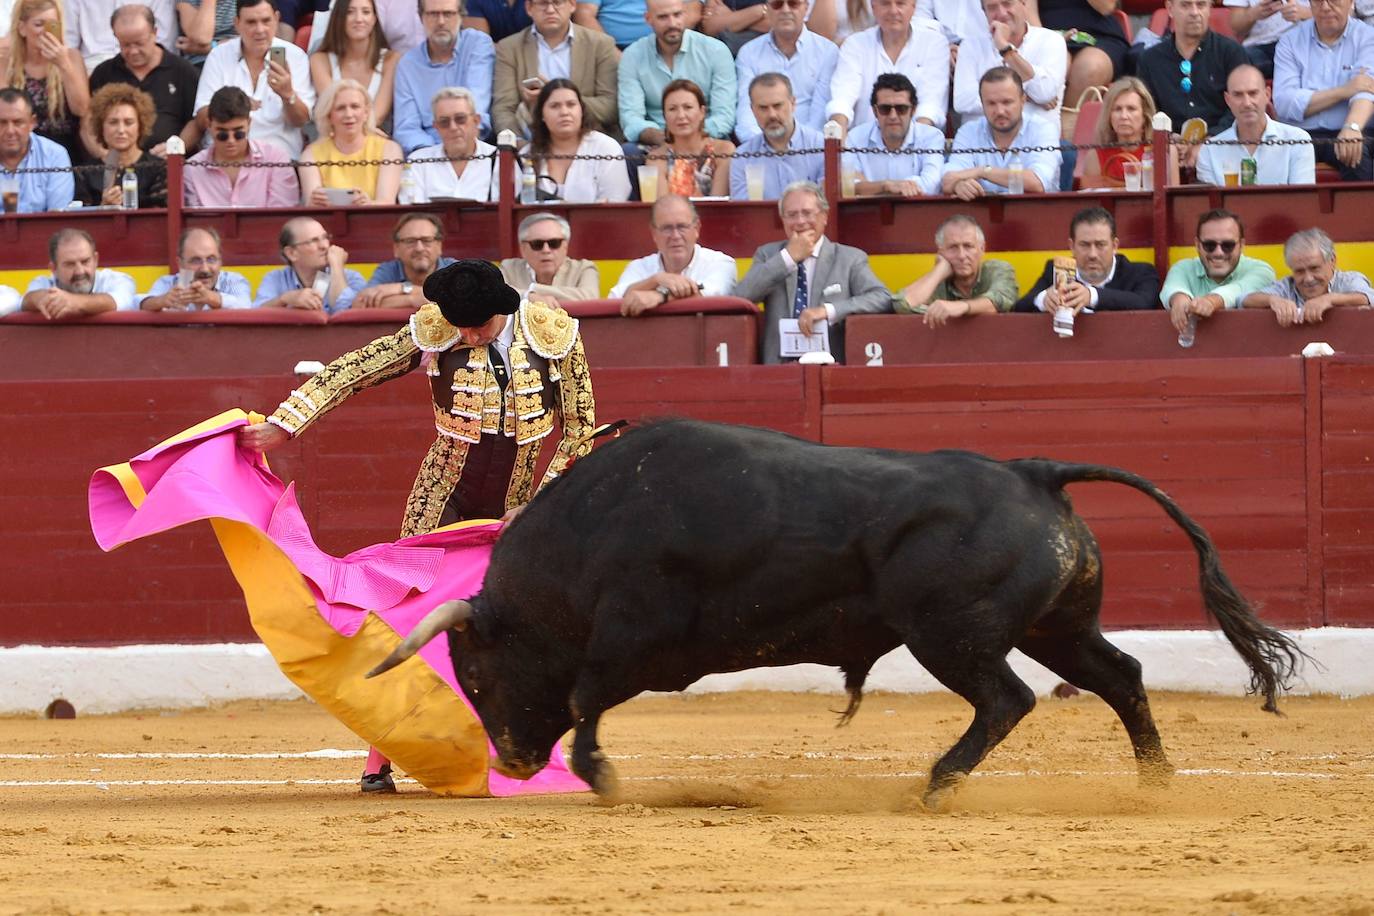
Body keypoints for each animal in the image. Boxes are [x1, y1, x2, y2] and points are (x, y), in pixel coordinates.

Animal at [370, 420, 1302, 813]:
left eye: (479, 671)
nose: (513, 761)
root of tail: (1033, 472)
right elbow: (585, 699)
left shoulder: (630, 637)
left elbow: (584, 698)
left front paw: (600, 778)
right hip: (1057, 628)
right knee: (1120, 676)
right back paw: (1154, 783)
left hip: (949, 635)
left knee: (1007, 700)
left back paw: (935, 785)